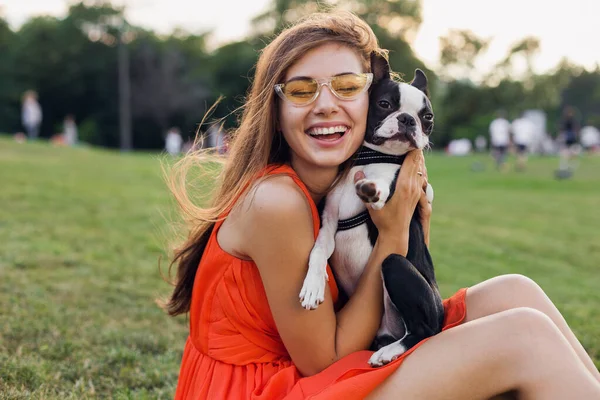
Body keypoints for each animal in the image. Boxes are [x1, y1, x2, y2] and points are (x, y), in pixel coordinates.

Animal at [300, 54, 446, 368]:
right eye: (384, 104)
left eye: (427, 117)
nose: (407, 119)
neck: (372, 159)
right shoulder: (329, 222)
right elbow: (318, 250)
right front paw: (313, 285)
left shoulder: (394, 193)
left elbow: (379, 189)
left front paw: (370, 188)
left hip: (396, 266)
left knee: (426, 329)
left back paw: (389, 351)